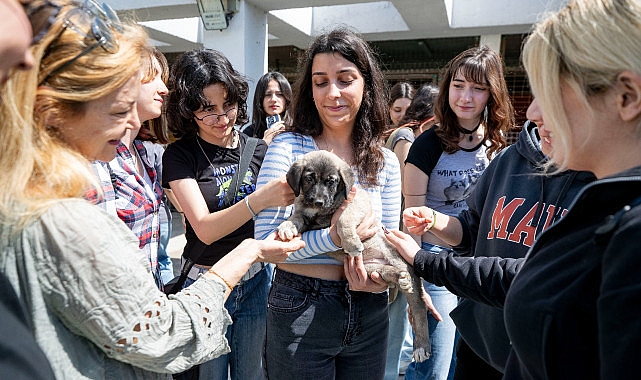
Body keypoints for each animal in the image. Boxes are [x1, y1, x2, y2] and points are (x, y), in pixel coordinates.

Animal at [276, 151, 430, 362]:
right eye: (308, 179)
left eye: (331, 181)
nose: (318, 202)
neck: (320, 212)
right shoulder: (305, 215)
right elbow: (296, 216)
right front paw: (287, 226)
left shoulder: (356, 202)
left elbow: (343, 219)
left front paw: (351, 243)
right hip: (371, 268)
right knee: (387, 273)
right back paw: (398, 277)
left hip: (402, 262)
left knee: (419, 307)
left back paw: (421, 346)